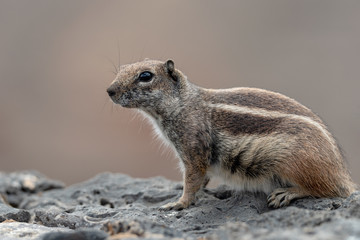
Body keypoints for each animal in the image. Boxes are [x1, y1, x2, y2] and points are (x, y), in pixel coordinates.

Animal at [105, 58, 356, 210]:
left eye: (145, 76)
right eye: (122, 68)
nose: (110, 90)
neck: (184, 103)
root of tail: (342, 174)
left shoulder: (193, 148)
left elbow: (193, 179)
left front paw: (179, 203)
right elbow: (201, 179)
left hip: (296, 163)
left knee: (328, 190)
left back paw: (287, 193)